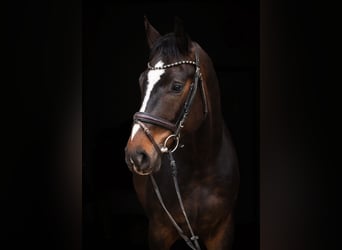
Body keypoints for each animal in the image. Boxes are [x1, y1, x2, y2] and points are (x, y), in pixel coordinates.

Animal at [124, 16, 239, 249]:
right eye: (141, 82)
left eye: (176, 86)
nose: (136, 155)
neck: (201, 166)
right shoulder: (159, 231)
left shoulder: (222, 231)